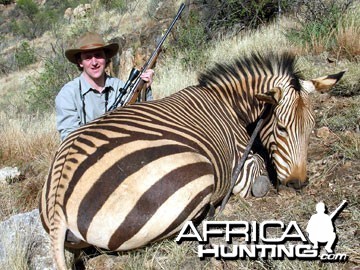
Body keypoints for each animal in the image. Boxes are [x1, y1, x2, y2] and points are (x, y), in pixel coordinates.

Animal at [39, 50, 344, 268]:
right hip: (196, 176)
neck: (228, 104)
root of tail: (58, 200)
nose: (298, 183)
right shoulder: (242, 165)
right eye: (281, 128)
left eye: (312, 126)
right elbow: (259, 180)